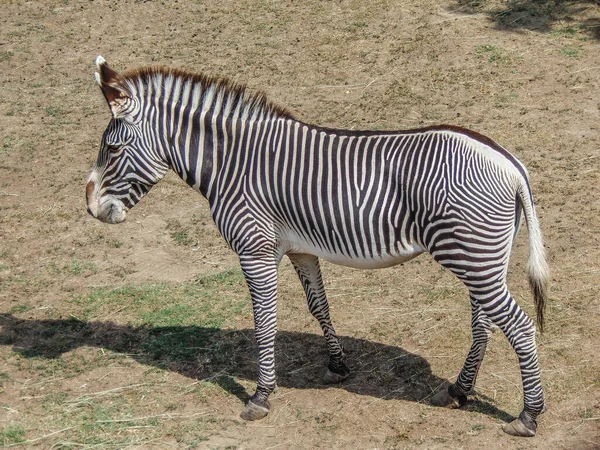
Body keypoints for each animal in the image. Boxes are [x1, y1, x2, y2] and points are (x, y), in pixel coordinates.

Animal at [86, 56, 552, 436]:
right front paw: (338, 365)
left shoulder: (255, 249)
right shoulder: (300, 248)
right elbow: (319, 307)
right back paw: (457, 390)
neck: (232, 165)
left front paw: (261, 395)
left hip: (472, 257)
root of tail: (511, 164)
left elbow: (264, 320)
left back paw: (528, 416)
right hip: (484, 259)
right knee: (485, 324)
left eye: (113, 148)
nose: (90, 207)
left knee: (519, 326)